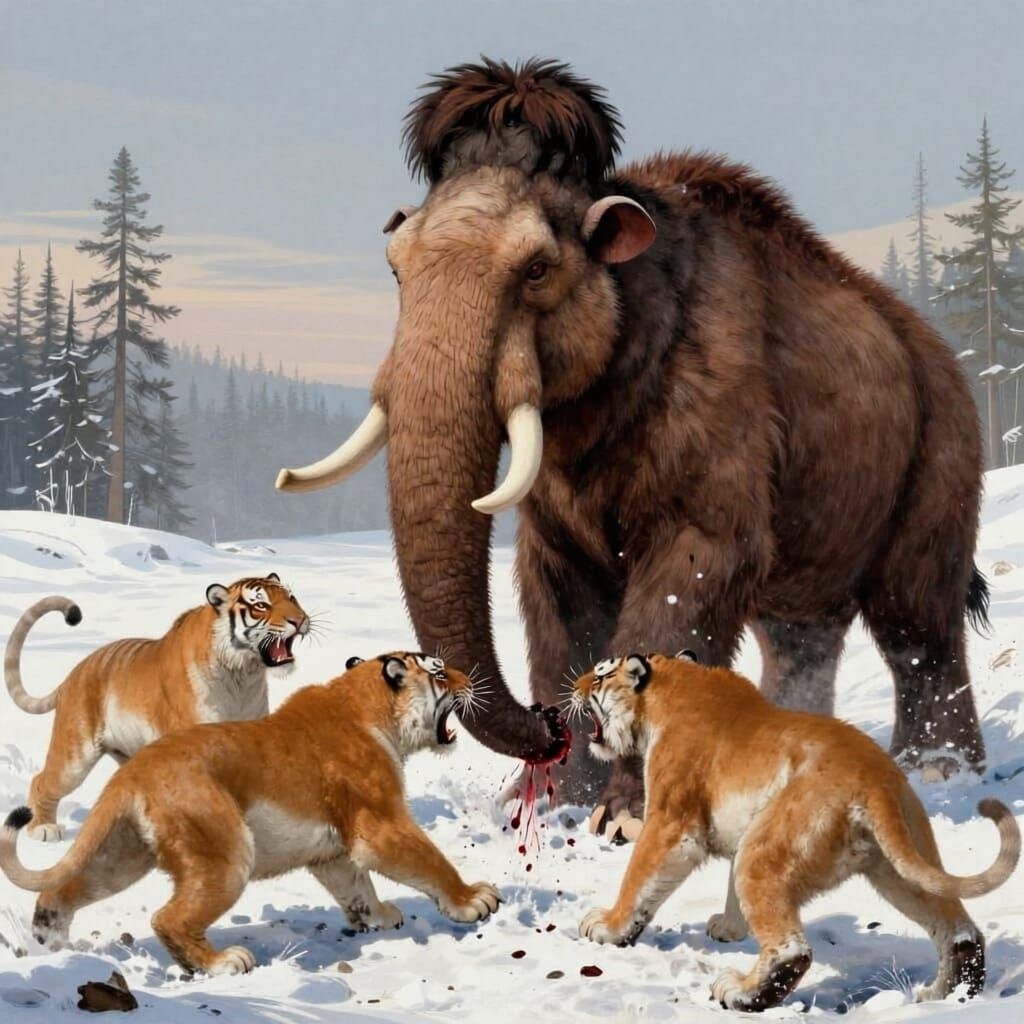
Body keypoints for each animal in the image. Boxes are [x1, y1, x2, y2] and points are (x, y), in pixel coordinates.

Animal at [0, 652, 499, 977]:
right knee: (169, 918)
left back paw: (50, 937)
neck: (369, 706)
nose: (470, 681)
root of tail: (133, 771)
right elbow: (429, 861)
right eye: (440, 672)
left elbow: (357, 887)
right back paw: (223, 963)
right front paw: (473, 900)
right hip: (227, 855)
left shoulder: (333, 852)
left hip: (122, 855)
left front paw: (376, 916)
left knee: (66, 888)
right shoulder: (381, 825)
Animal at [3, 574, 309, 842]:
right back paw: (42, 829)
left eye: (292, 598)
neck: (243, 675)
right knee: (42, 781)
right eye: (261, 606)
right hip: (75, 754)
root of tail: (72, 675)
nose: (300, 620)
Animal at [570, 652, 1020, 1011]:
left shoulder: (669, 821)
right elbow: (729, 892)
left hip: (767, 852)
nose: (574, 687)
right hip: (899, 866)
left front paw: (607, 926)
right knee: (958, 931)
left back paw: (739, 992)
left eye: (600, 675)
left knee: (792, 951)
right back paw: (947, 996)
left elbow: (639, 878)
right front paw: (729, 928)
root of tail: (875, 779)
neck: (671, 686)